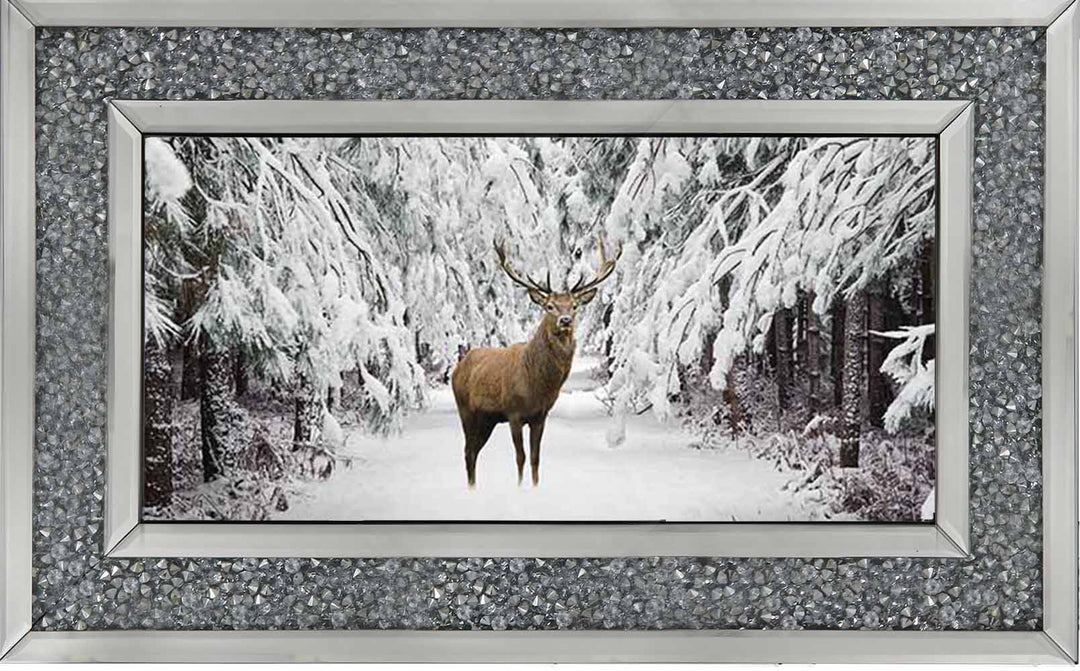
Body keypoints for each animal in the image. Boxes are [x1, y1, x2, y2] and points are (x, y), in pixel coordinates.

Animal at [451, 237, 621, 489]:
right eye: (549, 306)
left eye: (575, 305)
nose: (565, 320)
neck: (537, 385)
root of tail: (458, 366)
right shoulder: (513, 412)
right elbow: (520, 457)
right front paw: (520, 488)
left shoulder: (540, 415)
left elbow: (535, 458)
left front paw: (535, 487)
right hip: (466, 410)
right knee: (468, 451)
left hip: (487, 419)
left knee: (474, 451)